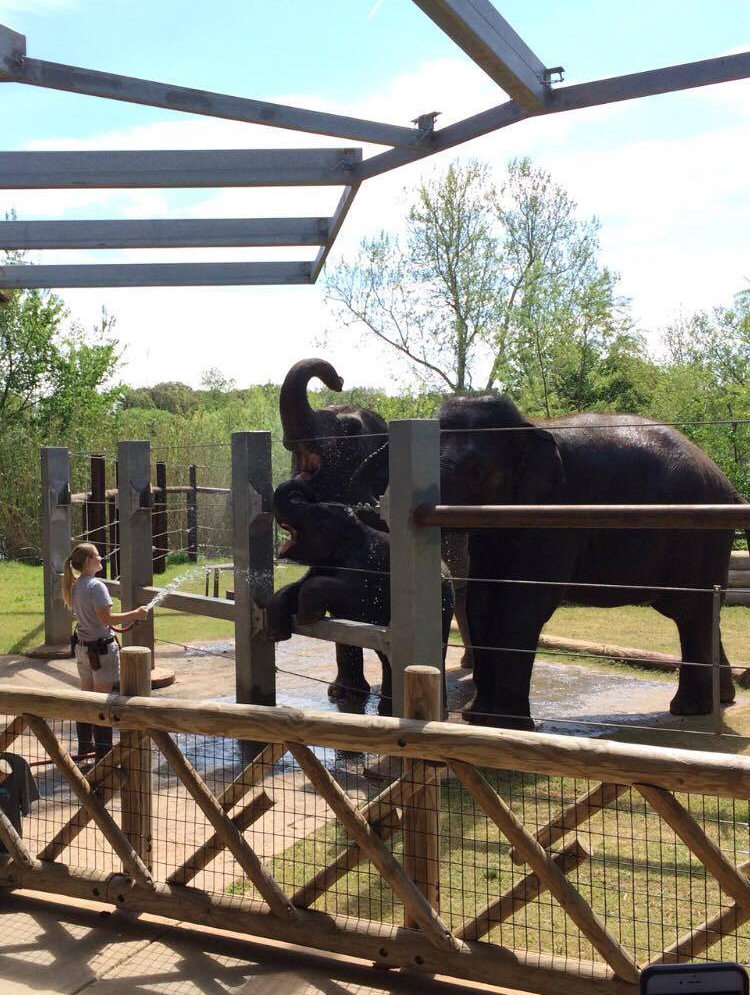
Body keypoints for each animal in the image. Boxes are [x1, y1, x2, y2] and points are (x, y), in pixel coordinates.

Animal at [268, 478, 456, 712]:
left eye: (320, 516)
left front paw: (305, 617)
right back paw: (380, 707)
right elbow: (296, 586)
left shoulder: (365, 567)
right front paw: (276, 632)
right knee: (385, 657)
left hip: (442, 605)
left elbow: (348, 594)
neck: (358, 529)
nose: (303, 493)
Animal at [438, 394, 744, 732]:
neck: (528, 425)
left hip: (698, 536)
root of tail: (727, 484)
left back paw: (689, 709)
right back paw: (721, 699)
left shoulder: (556, 514)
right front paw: (477, 718)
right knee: (703, 612)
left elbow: (524, 604)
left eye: (476, 471)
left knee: (690, 613)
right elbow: (482, 600)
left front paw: (506, 725)